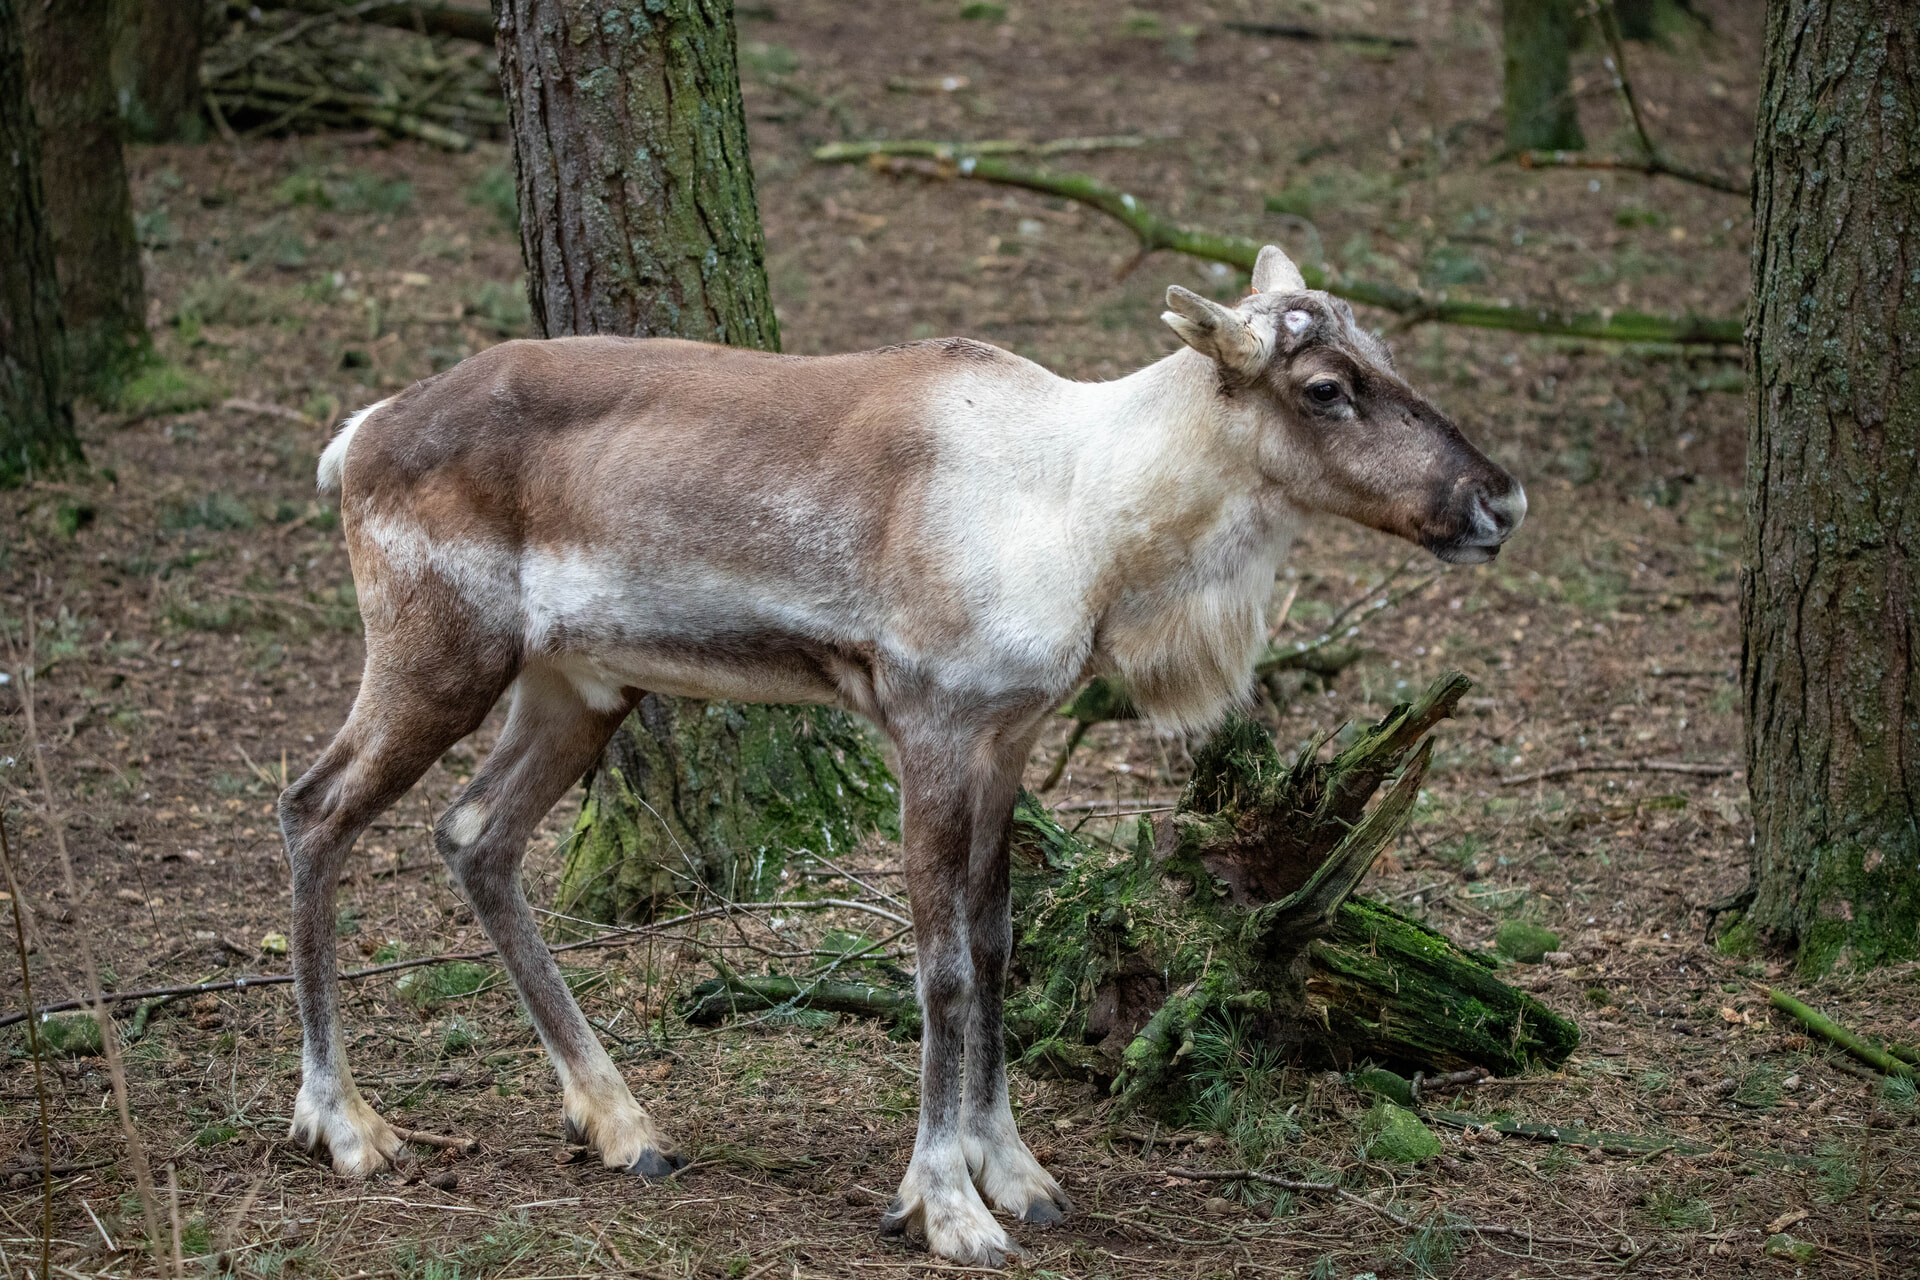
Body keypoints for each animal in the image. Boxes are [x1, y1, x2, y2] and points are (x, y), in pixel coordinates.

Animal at [281, 243, 1523, 1266]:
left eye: (1384, 350)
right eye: (1325, 387)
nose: (1497, 497)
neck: (1089, 516)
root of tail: (355, 437)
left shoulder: (1010, 734)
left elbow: (998, 941)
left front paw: (1015, 1170)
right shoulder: (929, 724)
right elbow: (942, 965)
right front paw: (945, 1204)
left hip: (578, 683)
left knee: (474, 832)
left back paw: (623, 1122)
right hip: (437, 646)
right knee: (315, 805)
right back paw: (348, 1124)